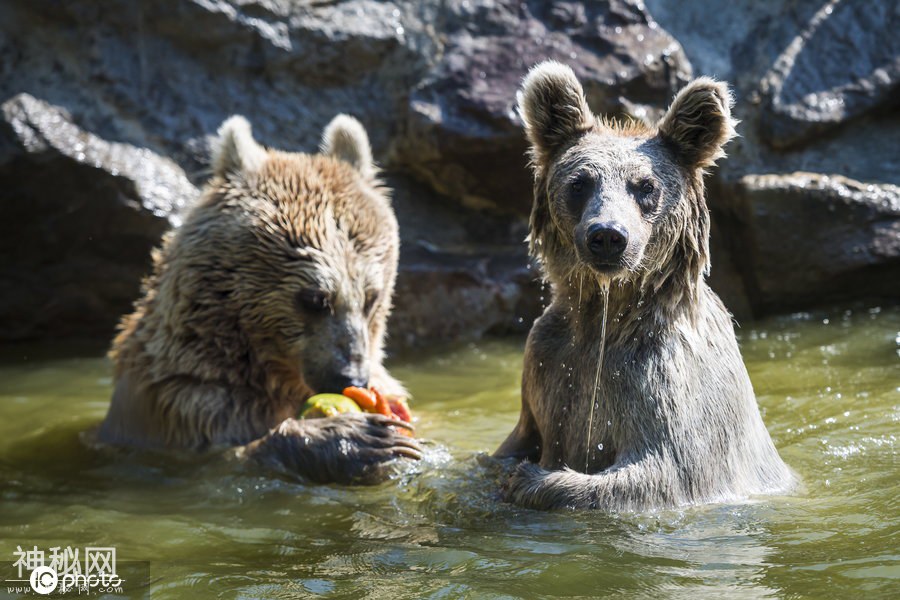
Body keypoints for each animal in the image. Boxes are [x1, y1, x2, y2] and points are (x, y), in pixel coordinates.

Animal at [98, 115, 422, 486]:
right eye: (315, 298)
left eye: (371, 297)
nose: (351, 377)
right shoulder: (186, 408)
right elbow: (222, 459)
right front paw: (355, 438)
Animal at [496, 62, 800, 510]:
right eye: (579, 183)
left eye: (646, 186)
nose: (608, 235)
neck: (607, 315)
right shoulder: (546, 361)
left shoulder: (664, 379)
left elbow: (660, 472)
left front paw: (528, 479)